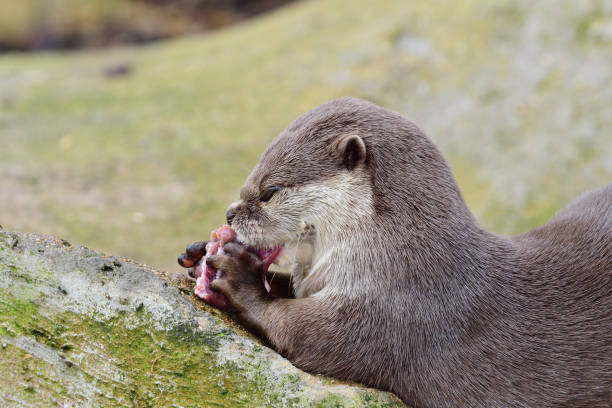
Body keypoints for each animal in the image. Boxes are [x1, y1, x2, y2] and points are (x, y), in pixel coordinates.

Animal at [177, 97, 612, 406]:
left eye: (270, 191)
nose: (230, 213)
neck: (403, 258)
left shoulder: (391, 312)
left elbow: (299, 331)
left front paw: (240, 276)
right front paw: (198, 252)